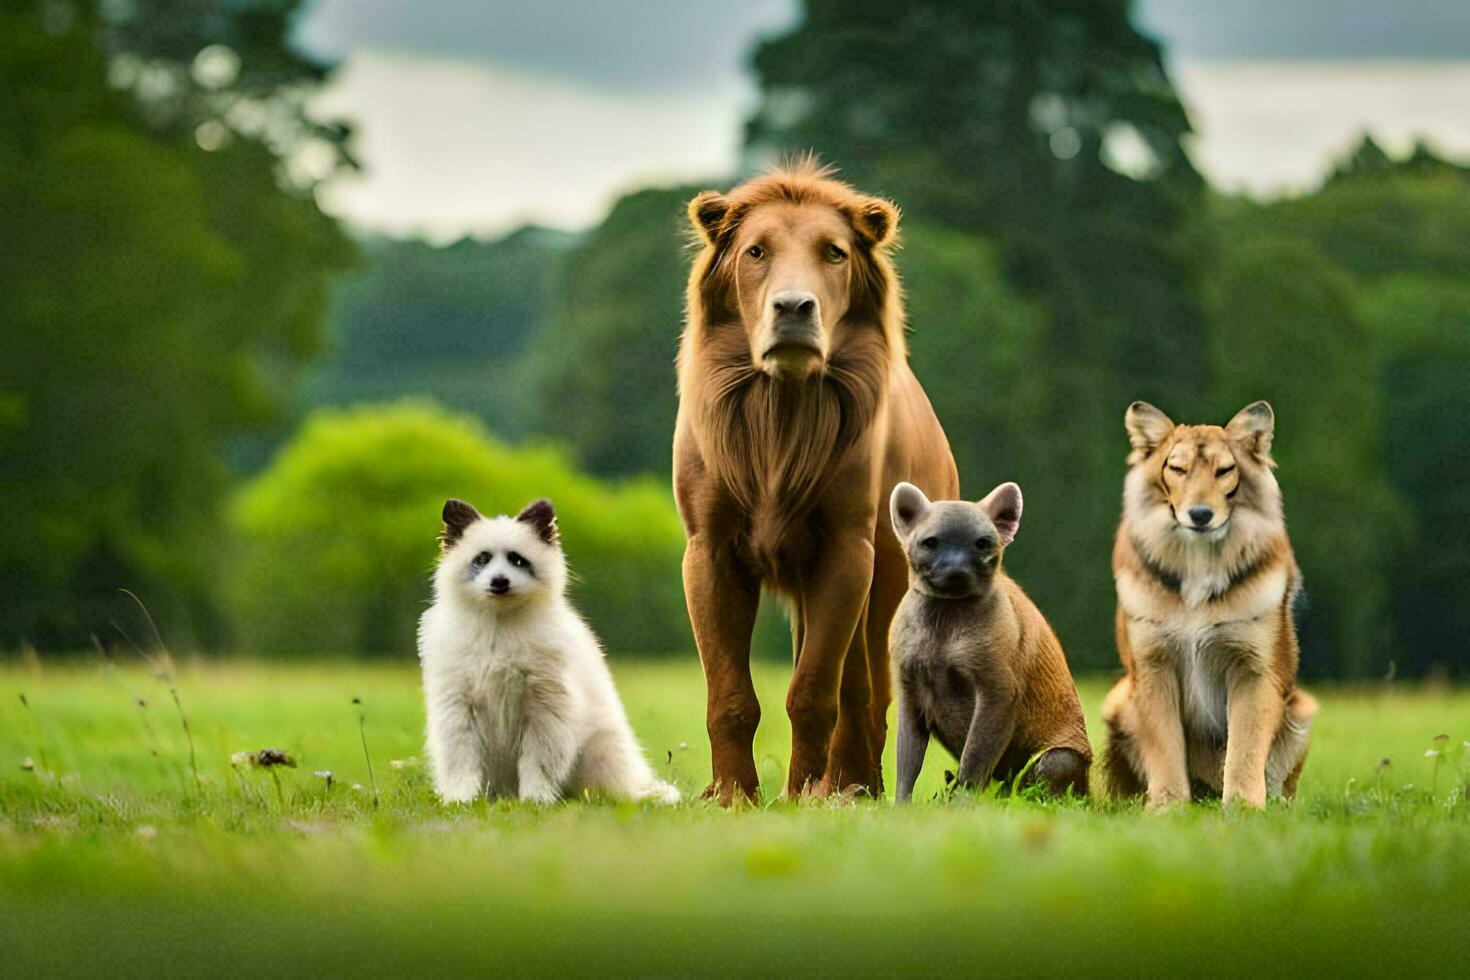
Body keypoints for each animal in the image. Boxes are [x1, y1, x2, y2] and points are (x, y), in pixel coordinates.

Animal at [417, 499, 679, 805]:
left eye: (517, 560)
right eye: (482, 559)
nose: (499, 581)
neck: (499, 624)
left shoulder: (544, 708)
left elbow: (536, 761)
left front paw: (536, 799)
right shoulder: (457, 707)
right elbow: (462, 760)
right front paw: (462, 799)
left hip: (601, 748)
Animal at [1099, 402, 1317, 811]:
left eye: (1224, 470)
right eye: (1177, 468)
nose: (1200, 514)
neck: (1198, 559)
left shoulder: (1251, 667)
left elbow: (1244, 747)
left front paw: (1244, 808)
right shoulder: (1154, 664)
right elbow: (1165, 745)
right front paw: (1167, 807)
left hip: (1302, 707)